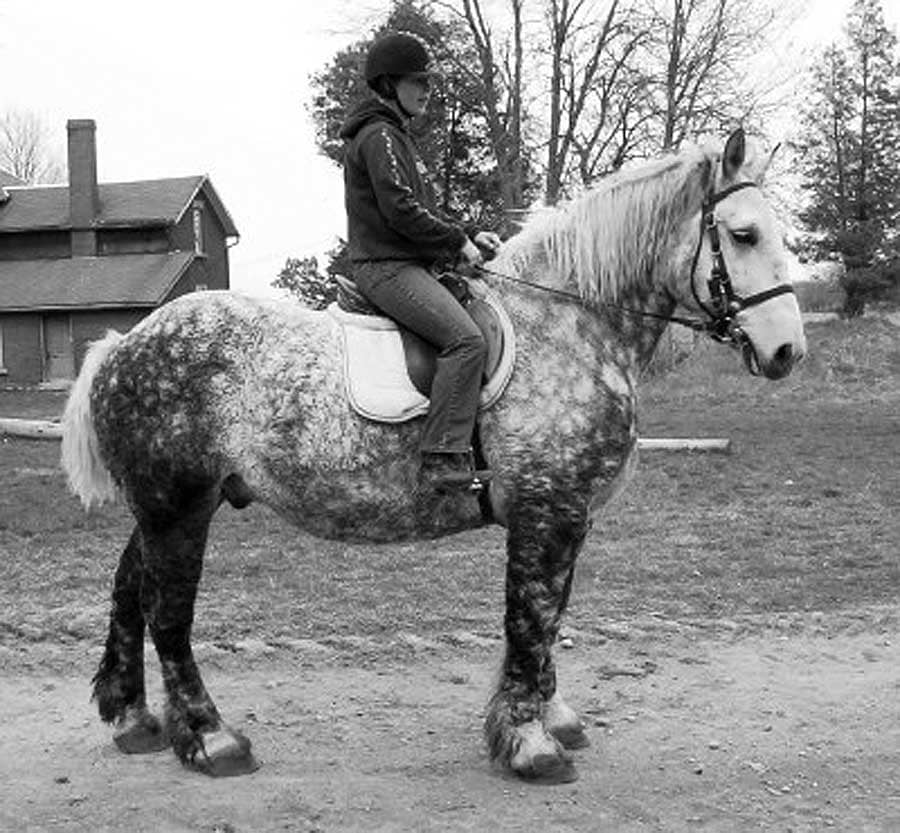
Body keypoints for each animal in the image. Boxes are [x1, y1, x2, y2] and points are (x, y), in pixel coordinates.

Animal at [63, 128, 808, 780]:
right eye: (743, 234)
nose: (786, 351)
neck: (570, 324)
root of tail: (122, 345)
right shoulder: (548, 511)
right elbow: (531, 615)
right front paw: (530, 743)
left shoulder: (569, 515)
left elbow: (551, 614)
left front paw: (552, 718)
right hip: (179, 505)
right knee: (168, 613)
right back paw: (211, 738)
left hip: (169, 505)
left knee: (130, 588)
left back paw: (134, 719)